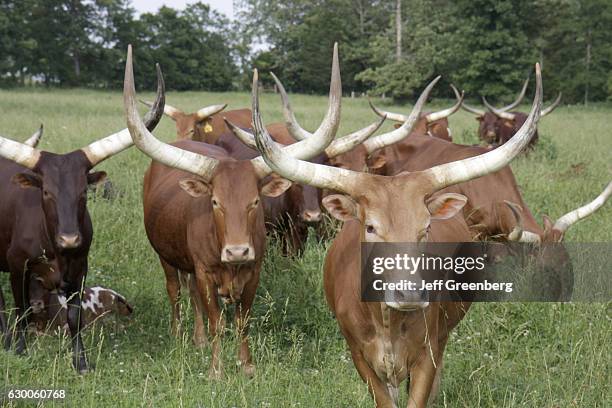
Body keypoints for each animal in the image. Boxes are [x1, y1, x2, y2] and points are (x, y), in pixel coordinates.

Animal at [0, 63, 165, 372]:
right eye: (46, 192)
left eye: (83, 192)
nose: (69, 239)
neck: (55, 248)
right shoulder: (18, 266)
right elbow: (20, 309)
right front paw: (18, 349)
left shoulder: (80, 267)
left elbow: (74, 319)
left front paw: (81, 362)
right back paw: (5, 338)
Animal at [123, 43, 344, 376]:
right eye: (215, 201)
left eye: (255, 201)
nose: (237, 251)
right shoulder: (204, 272)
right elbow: (216, 320)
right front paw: (217, 370)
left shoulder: (253, 273)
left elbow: (242, 321)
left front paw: (246, 365)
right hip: (166, 256)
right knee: (175, 291)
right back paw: (178, 334)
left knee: (192, 296)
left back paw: (198, 339)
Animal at [251, 61, 544, 408]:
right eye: (370, 227)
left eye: (426, 227)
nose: (410, 295)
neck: (386, 321)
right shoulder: (360, 357)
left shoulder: (427, 354)